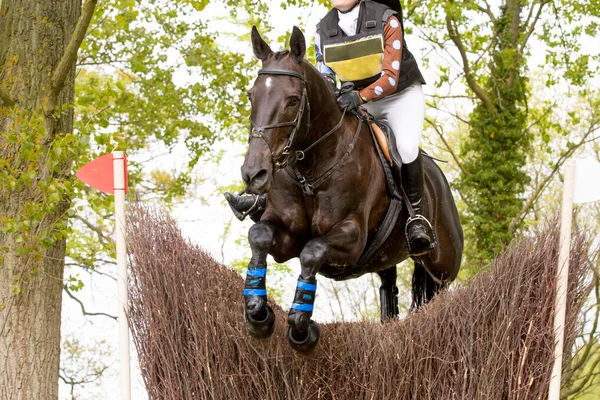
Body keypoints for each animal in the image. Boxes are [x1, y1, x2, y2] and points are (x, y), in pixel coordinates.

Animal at [240, 25, 464, 350]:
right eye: (251, 95)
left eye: (293, 100)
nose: (253, 174)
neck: (311, 170)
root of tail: (438, 179)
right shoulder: (286, 233)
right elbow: (259, 234)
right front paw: (257, 312)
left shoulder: (352, 238)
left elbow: (313, 251)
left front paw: (301, 327)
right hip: (387, 257)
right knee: (389, 289)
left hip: (443, 265)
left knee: (437, 290)